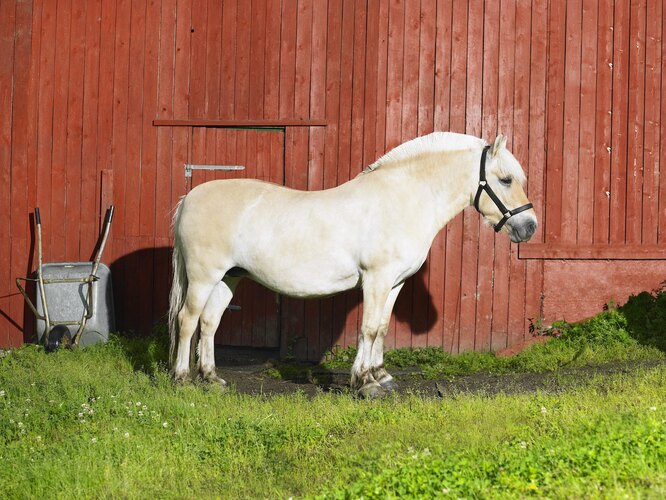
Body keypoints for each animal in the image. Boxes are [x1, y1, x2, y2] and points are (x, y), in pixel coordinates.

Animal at [169, 133, 536, 398]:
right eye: (505, 179)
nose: (529, 227)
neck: (403, 200)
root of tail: (190, 198)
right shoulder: (376, 279)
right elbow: (368, 328)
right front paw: (365, 384)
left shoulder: (394, 283)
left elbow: (382, 328)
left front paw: (380, 376)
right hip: (203, 277)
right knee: (188, 320)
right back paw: (182, 378)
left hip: (228, 279)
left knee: (209, 323)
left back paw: (211, 378)